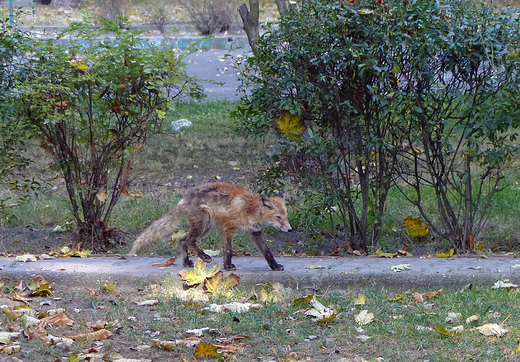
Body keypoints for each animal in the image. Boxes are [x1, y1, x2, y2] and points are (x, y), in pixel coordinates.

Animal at [129, 182, 292, 270]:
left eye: (286, 216)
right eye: (278, 217)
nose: (290, 229)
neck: (249, 209)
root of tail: (184, 199)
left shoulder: (256, 232)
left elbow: (267, 252)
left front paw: (275, 266)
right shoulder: (228, 228)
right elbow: (228, 250)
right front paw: (227, 266)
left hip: (204, 227)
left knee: (182, 240)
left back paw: (186, 262)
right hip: (203, 225)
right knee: (189, 240)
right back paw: (203, 256)